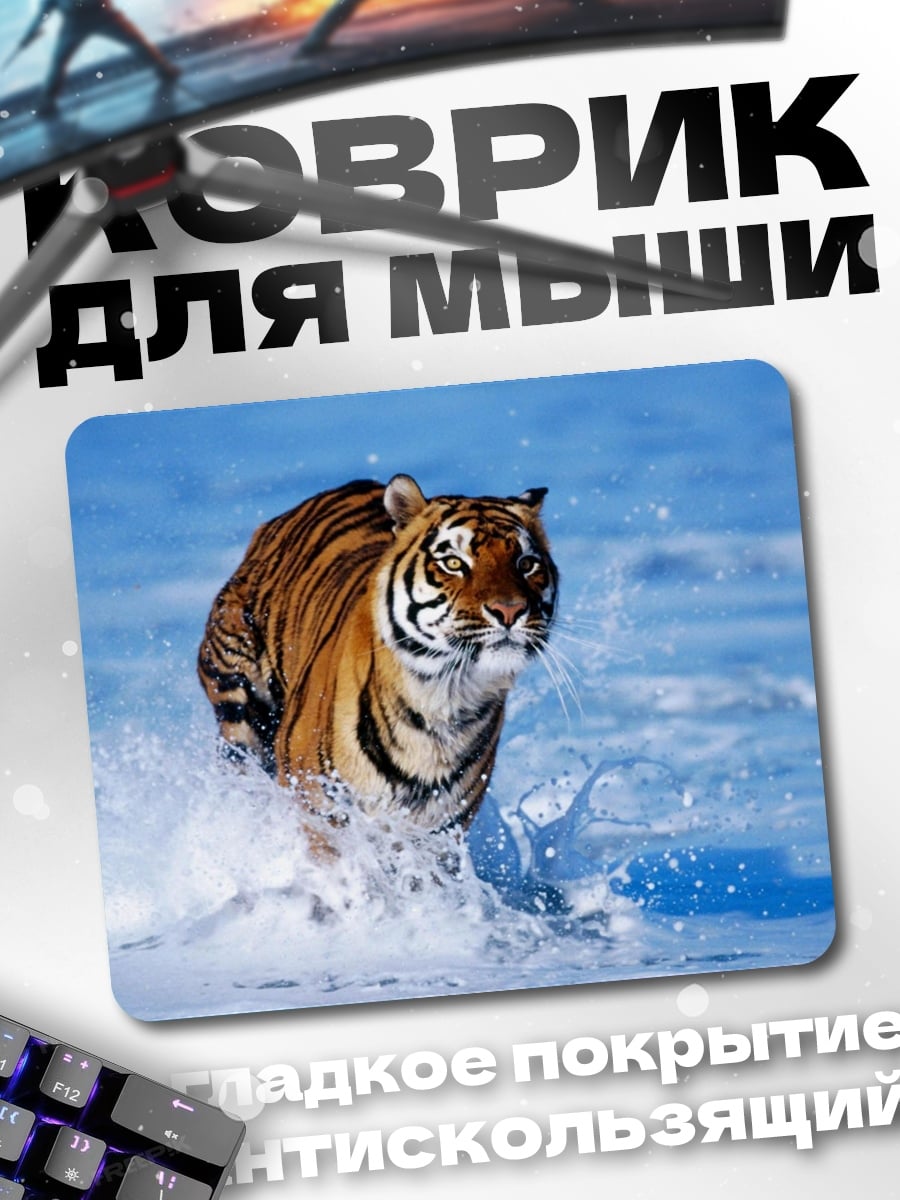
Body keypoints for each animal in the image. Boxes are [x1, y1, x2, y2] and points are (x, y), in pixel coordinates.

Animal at [197, 474, 558, 835]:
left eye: (527, 564)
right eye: (454, 563)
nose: (510, 610)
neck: (443, 700)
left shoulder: (440, 828)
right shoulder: (318, 805)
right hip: (239, 706)